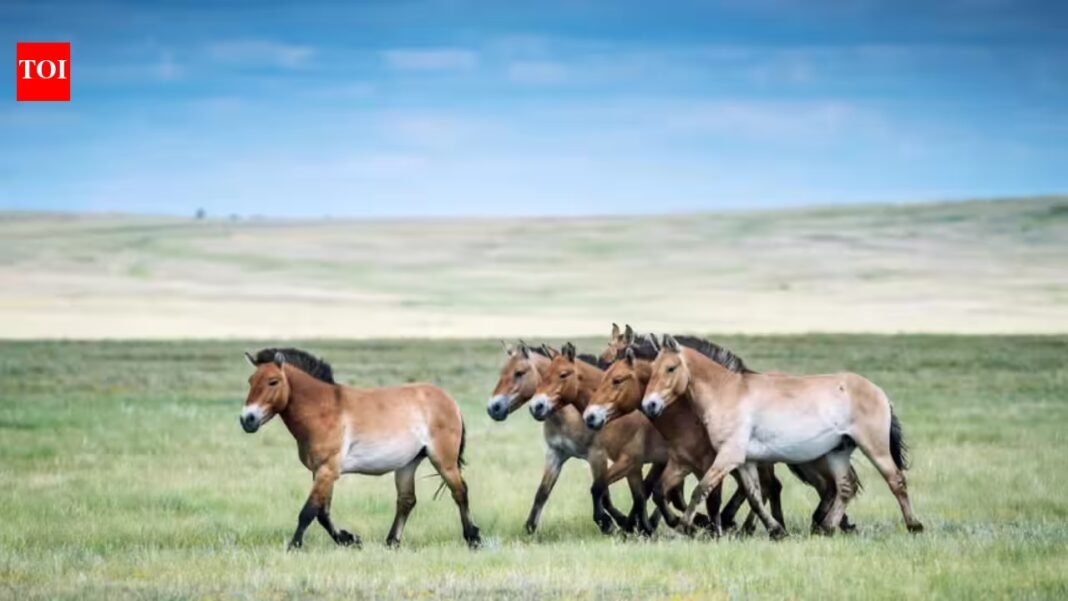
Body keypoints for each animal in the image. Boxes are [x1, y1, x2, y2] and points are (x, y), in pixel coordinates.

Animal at [240, 347, 481, 549]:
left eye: (273, 381)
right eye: (251, 381)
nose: (247, 419)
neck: (323, 409)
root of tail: (449, 400)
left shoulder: (327, 470)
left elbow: (309, 511)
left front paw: (294, 546)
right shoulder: (321, 472)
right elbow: (323, 513)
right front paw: (349, 539)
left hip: (443, 461)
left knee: (460, 492)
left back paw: (473, 538)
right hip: (407, 464)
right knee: (406, 500)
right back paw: (391, 542)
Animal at [486, 341, 672, 534]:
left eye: (519, 373)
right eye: (502, 372)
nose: (493, 408)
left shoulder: (599, 455)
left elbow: (604, 492)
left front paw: (612, 523)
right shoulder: (556, 453)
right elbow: (542, 492)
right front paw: (530, 527)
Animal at [591, 330, 859, 535]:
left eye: (615, 376)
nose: (591, 415)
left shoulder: (710, 460)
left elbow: (699, 495)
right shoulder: (682, 461)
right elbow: (658, 491)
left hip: (806, 457)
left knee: (822, 486)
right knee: (796, 487)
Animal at [641, 334, 923, 537]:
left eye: (670, 368)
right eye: (651, 369)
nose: (649, 405)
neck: (727, 392)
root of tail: (878, 391)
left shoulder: (729, 457)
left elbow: (701, 490)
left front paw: (685, 527)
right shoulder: (746, 462)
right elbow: (755, 496)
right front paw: (776, 530)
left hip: (874, 447)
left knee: (895, 481)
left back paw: (914, 526)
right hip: (837, 452)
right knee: (845, 487)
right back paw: (827, 528)